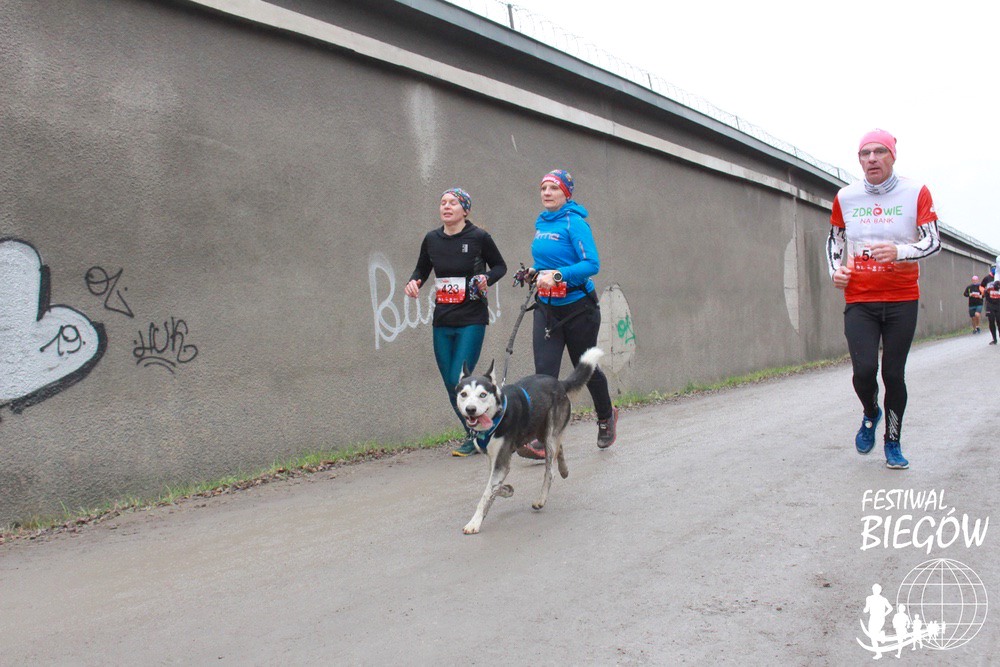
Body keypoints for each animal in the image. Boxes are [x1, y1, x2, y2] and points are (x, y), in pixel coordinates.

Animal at [455, 347, 604, 534]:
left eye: (482, 394)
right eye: (463, 394)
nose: (471, 409)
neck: (498, 414)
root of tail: (559, 383)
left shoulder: (501, 461)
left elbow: (487, 493)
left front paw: (475, 522)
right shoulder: (493, 460)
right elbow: (493, 487)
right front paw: (507, 490)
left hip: (549, 436)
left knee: (550, 470)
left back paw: (541, 499)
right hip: (542, 432)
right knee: (559, 447)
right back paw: (564, 470)